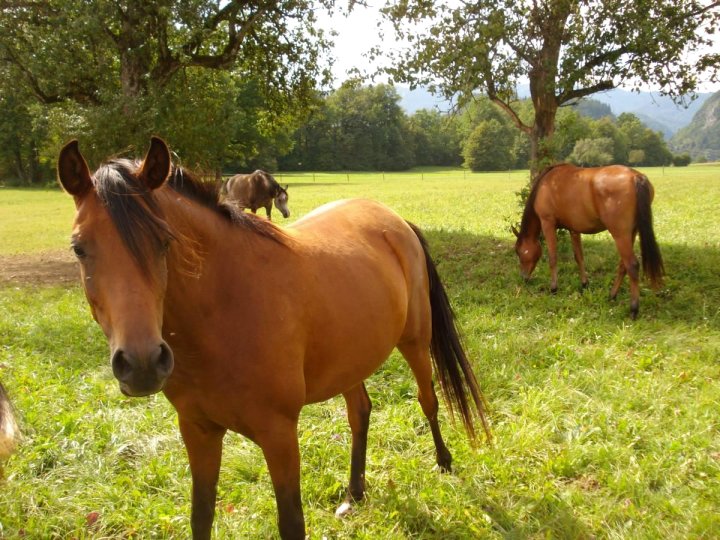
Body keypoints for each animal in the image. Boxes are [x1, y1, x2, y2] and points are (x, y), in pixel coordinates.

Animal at [56, 138, 490, 540]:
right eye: (78, 248)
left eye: (164, 241)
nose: (142, 363)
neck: (225, 311)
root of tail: (395, 221)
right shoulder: (197, 430)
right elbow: (201, 518)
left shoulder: (279, 435)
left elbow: (291, 523)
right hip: (351, 361)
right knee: (360, 413)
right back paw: (354, 493)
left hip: (415, 341)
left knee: (428, 400)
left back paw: (444, 463)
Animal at [512, 162, 664, 318]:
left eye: (518, 252)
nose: (523, 277)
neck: (546, 184)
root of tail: (636, 177)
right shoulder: (573, 229)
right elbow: (579, 256)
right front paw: (584, 284)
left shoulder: (547, 223)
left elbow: (553, 258)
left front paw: (554, 288)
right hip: (631, 233)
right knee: (623, 265)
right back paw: (612, 296)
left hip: (620, 235)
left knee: (632, 266)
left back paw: (633, 309)